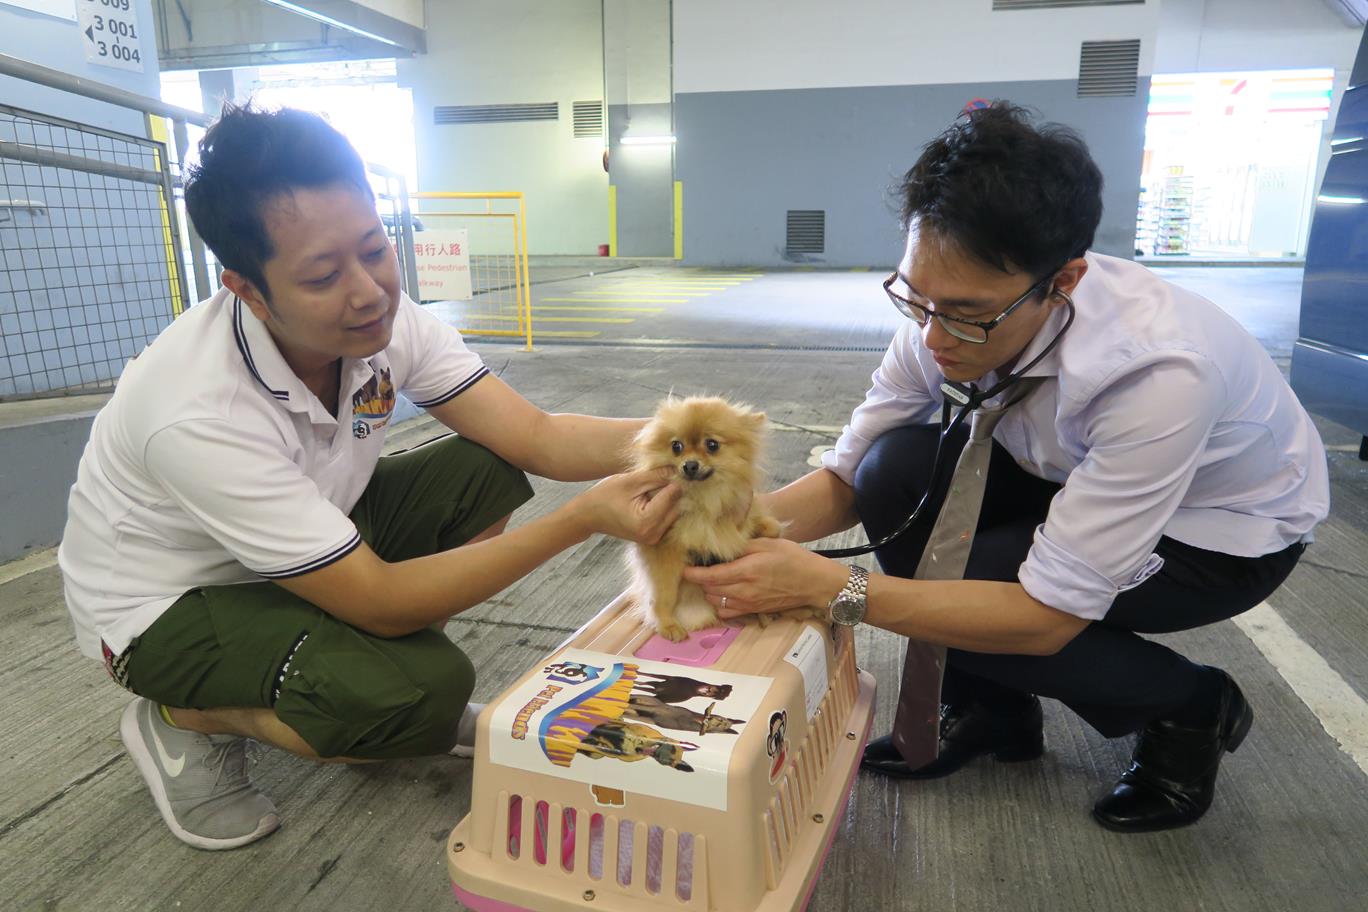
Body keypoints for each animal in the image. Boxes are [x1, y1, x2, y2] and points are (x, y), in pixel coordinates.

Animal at [626, 396, 782, 642]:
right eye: (676, 446)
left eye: (712, 445)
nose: (689, 465)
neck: (701, 501)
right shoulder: (665, 553)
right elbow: (664, 594)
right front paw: (667, 624)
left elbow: (766, 527)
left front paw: (767, 527)